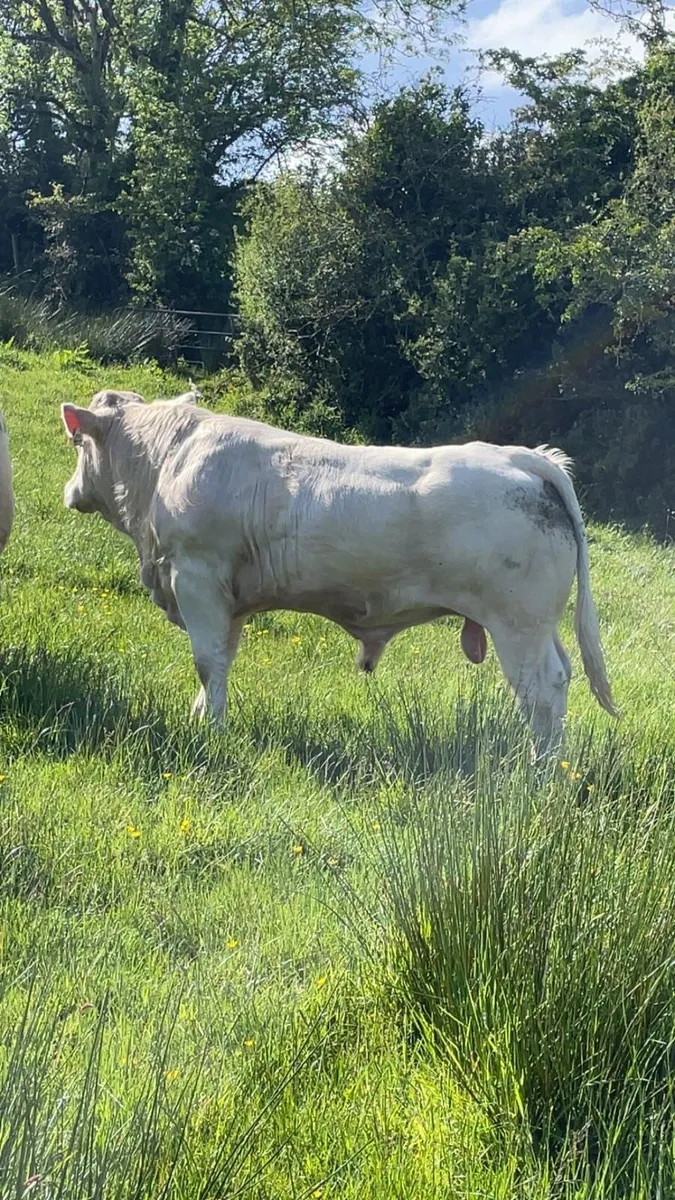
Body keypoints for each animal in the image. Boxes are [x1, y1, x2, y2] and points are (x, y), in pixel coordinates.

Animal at [60, 390, 616, 753]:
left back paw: (539, 769)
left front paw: (211, 731)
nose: (70, 492)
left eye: (77, 442)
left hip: (517, 622)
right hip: (538, 623)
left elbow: (208, 661)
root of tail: (522, 457)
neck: (165, 462)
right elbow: (222, 657)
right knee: (561, 675)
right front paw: (201, 717)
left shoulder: (197, 578)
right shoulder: (228, 599)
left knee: (542, 689)